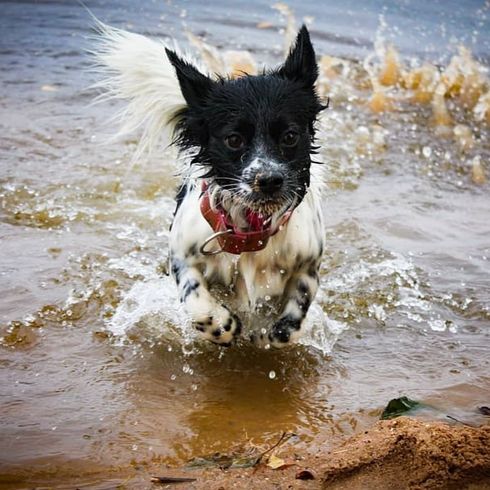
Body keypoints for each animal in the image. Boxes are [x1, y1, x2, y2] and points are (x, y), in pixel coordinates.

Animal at [94, 22, 328, 348]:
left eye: (290, 136)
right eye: (234, 139)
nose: (269, 180)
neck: (249, 232)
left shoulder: (308, 263)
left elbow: (293, 316)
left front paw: (270, 333)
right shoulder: (182, 254)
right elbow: (195, 298)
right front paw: (220, 325)